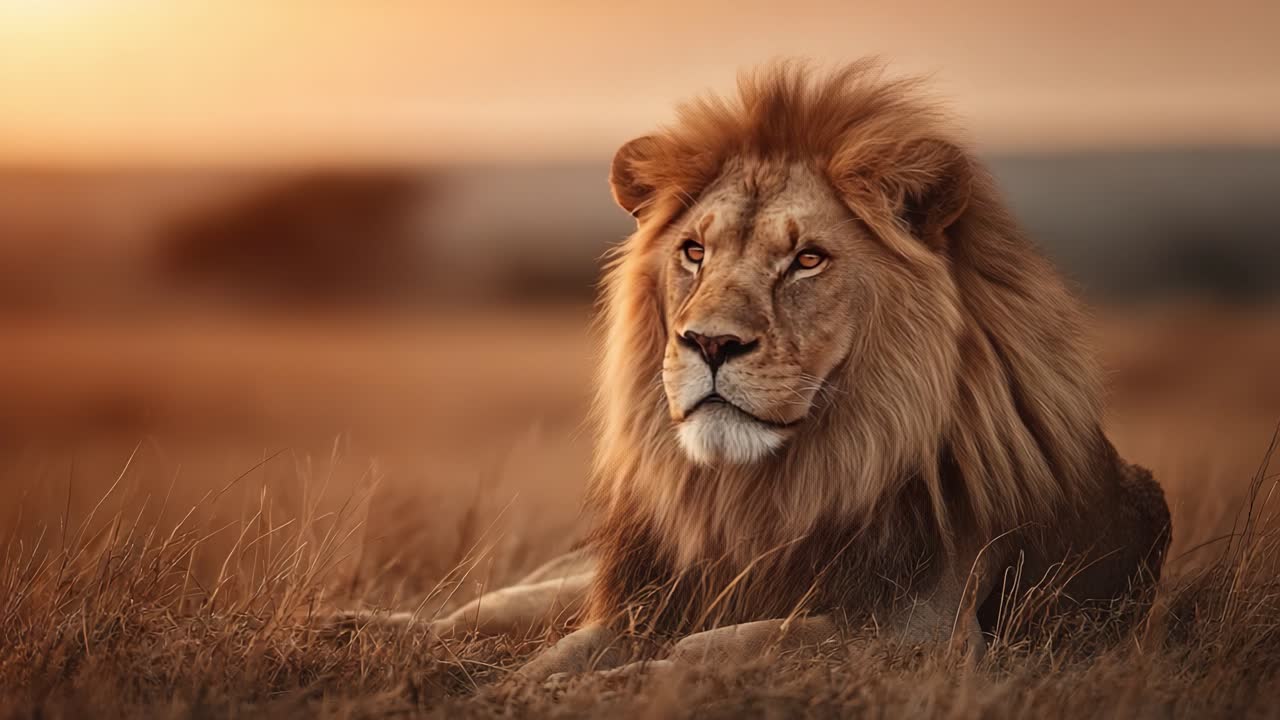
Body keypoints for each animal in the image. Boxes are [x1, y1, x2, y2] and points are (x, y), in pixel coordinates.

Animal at [345, 59, 1171, 680]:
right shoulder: (642, 596)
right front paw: (524, 683)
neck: (762, 495)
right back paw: (358, 624)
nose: (709, 344)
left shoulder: (928, 635)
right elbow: (562, 650)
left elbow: (721, 647)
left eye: (806, 260)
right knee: (484, 607)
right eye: (694, 251)